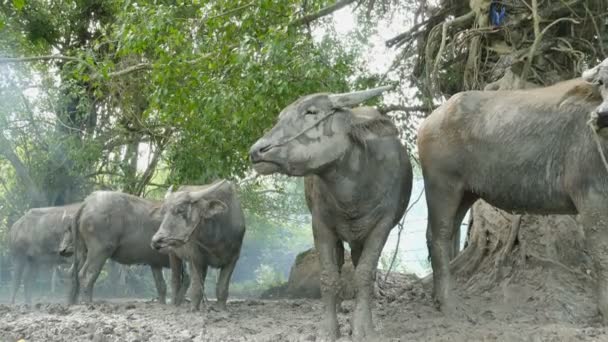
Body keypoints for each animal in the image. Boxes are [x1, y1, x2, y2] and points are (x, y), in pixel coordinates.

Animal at [151, 180, 246, 312]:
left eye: (181, 210)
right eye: (164, 213)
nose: (156, 241)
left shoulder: (233, 259)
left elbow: (222, 287)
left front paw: (222, 308)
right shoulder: (195, 258)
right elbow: (196, 287)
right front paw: (193, 309)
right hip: (173, 254)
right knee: (175, 280)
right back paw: (174, 304)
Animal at [248, 87, 414, 340]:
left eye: (311, 112)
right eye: (280, 117)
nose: (258, 150)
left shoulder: (382, 225)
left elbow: (364, 273)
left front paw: (362, 326)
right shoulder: (320, 224)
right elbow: (328, 276)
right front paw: (328, 328)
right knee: (339, 264)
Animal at [418, 57, 608, 322]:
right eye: (603, 81)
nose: (602, 116)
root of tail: (432, 119)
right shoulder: (592, 198)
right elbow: (602, 254)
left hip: (465, 193)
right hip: (442, 186)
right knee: (439, 236)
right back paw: (447, 303)